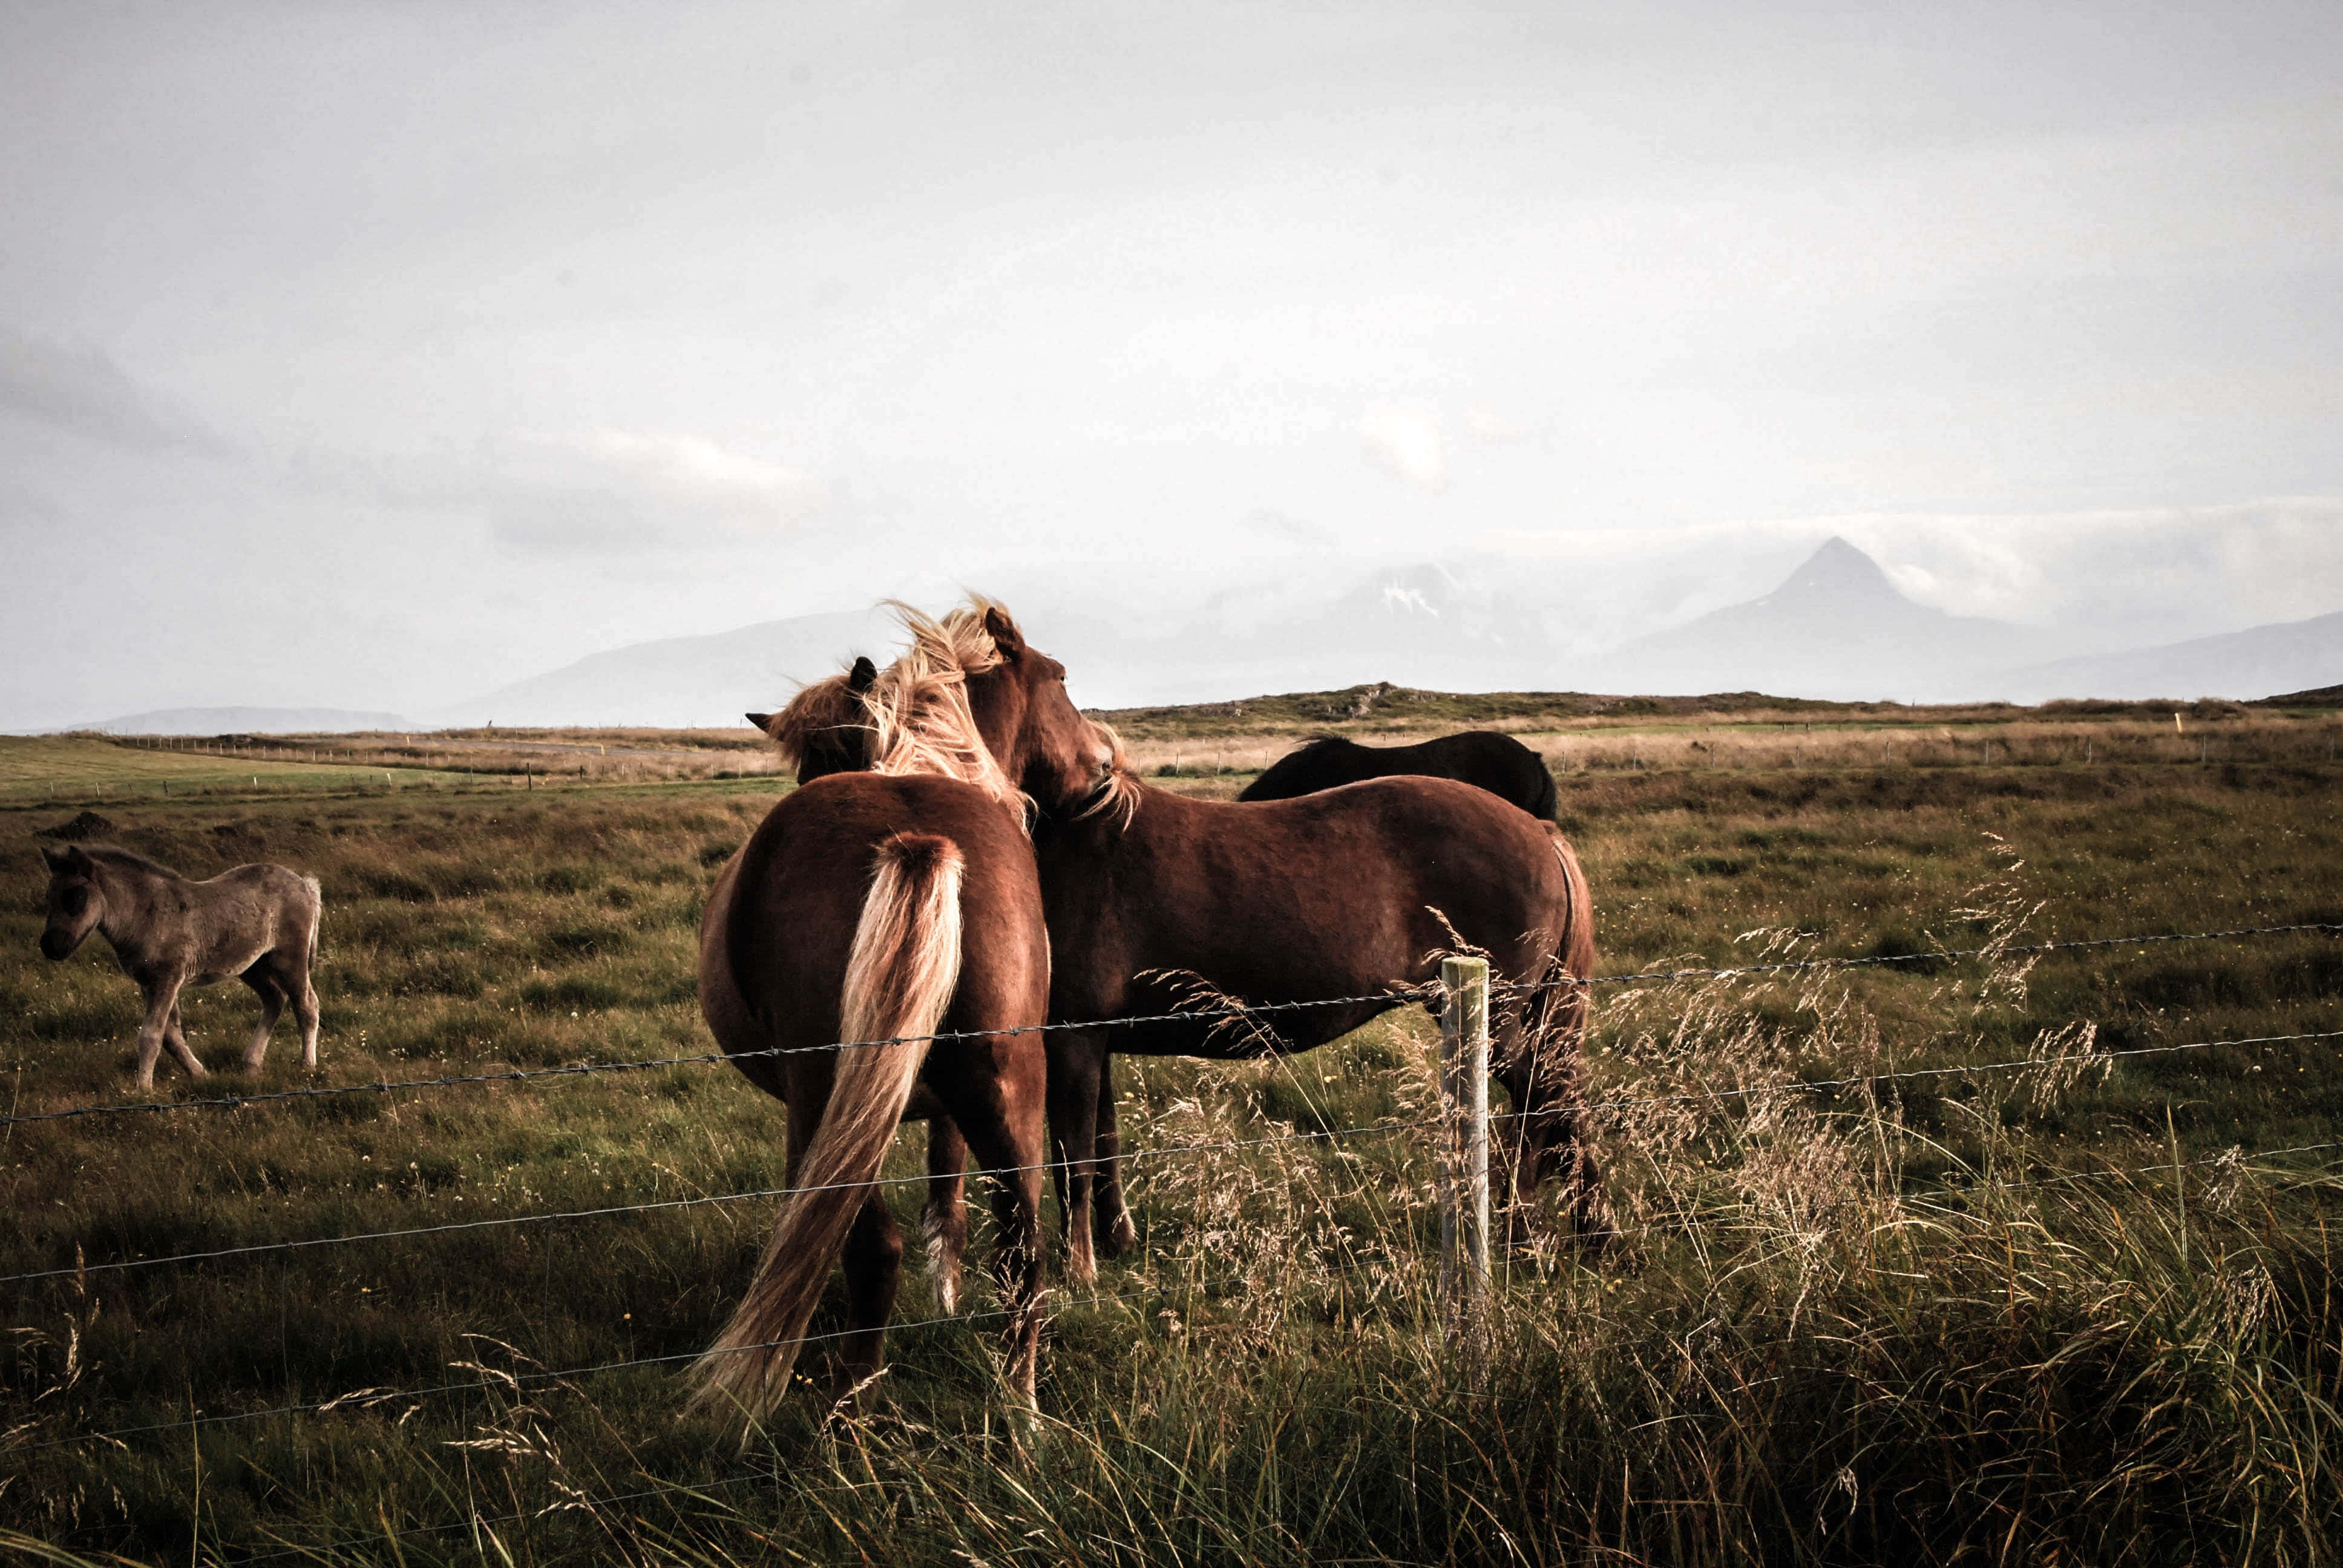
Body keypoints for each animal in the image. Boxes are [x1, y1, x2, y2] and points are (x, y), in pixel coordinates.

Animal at [36, 843, 322, 1089]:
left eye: (76, 896)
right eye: (48, 896)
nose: (50, 946)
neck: (146, 915)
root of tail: (305, 885)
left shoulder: (167, 979)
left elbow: (151, 1036)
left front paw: (143, 1090)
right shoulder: (150, 983)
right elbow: (170, 1036)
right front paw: (199, 1073)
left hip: (289, 959)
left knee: (307, 1005)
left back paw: (308, 1067)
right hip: (252, 965)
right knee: (275, 998)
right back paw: (251, 1063)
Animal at [693, 606, 1106, 1417]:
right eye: (1063, 680)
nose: (1100, 769)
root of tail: (917, 839)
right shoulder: (944, 1105)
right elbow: (949, 1204)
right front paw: (946, 1295)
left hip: (828, 1099)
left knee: (865, 1244)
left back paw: (847, 1409)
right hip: (1007, 1084)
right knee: (1021, 1243)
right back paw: (1019, 1413)